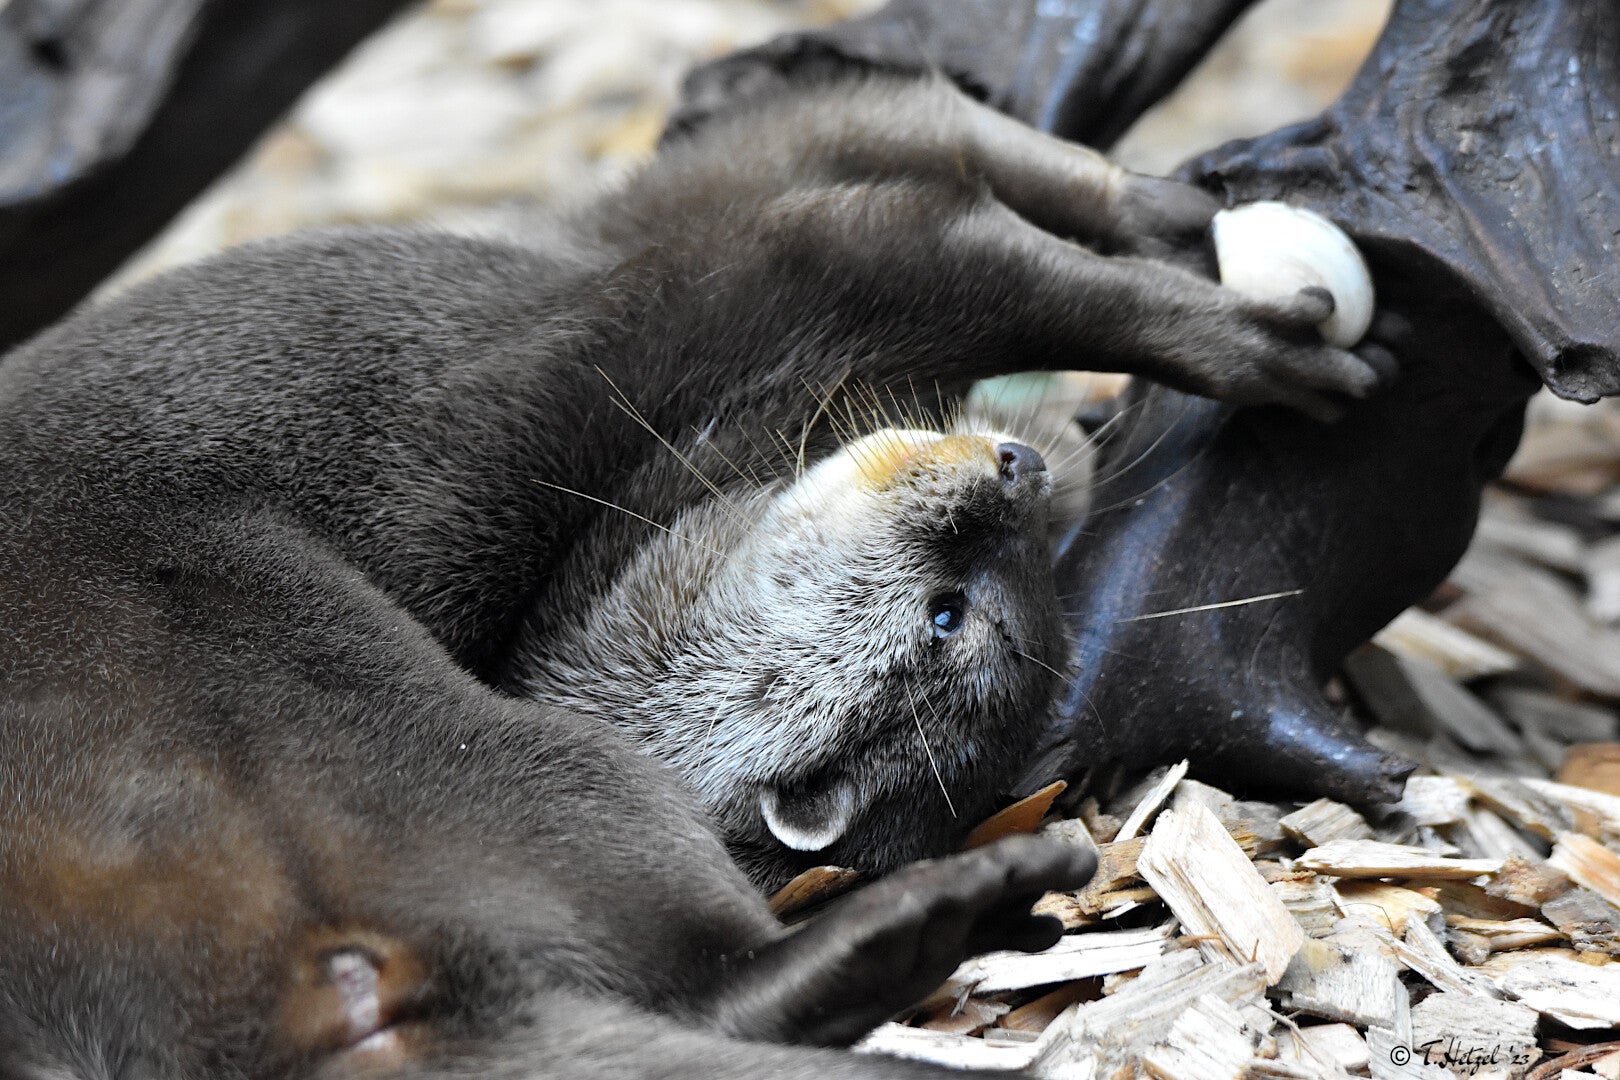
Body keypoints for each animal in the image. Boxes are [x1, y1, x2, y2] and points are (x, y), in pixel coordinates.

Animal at [0, 71, 1384, 1077]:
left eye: (991, 594)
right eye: (946, 612)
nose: (1011, 473)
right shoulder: (778, 250)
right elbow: (971, 199)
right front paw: (1237, 314)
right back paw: (972, 904)